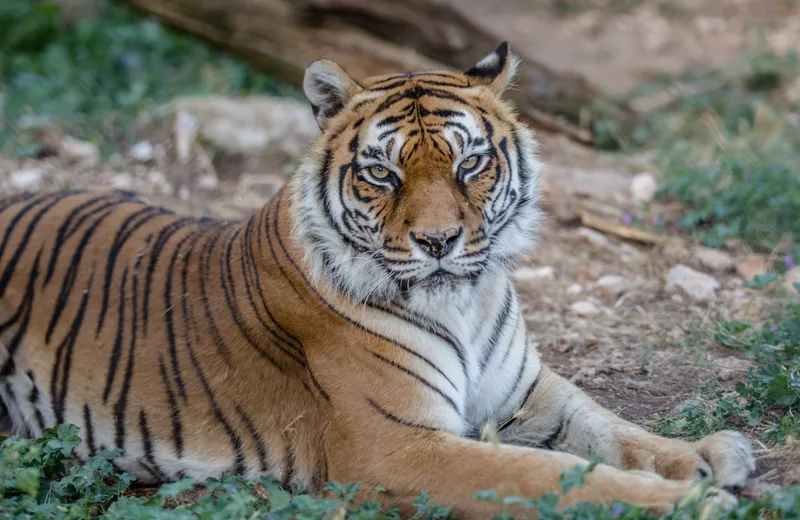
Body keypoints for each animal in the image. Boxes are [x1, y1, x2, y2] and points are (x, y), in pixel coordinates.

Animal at [0, 42, 752, 516]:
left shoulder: (524, 395)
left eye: (468, 164)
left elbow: (611, 428)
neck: (465, 302)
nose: (439, 241)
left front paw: (711, 454)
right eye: (382, 173)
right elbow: (553, 474)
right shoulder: (398, 446)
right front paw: (694, 501)